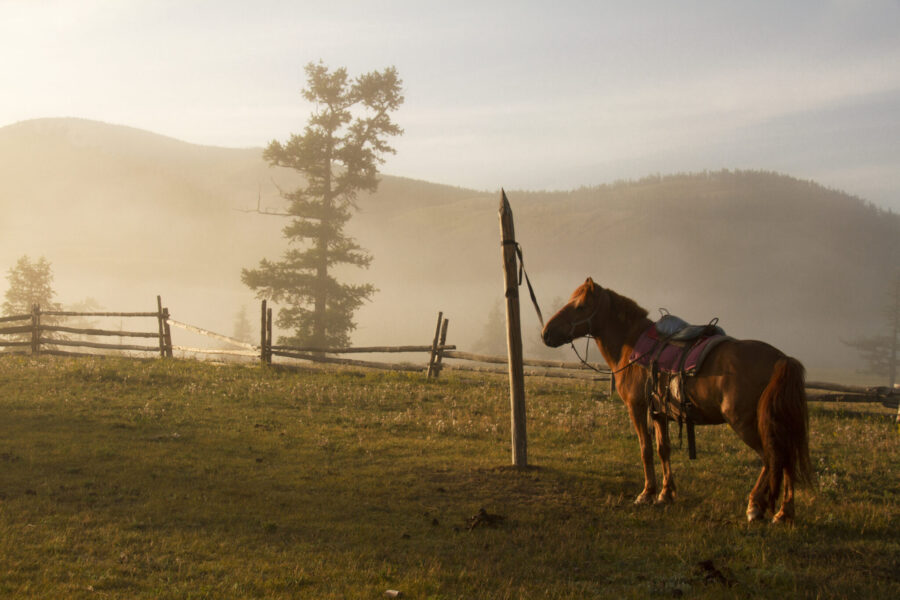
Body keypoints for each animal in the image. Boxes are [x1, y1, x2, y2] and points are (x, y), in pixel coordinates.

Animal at [541, 278, 812, 523]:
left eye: (581, 306)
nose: (546, 333)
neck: (631, 347)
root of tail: (781, 359)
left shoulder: (637, 408)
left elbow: (645, 449)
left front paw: (647, 494)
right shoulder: (659, 412)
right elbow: (663, 449)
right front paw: (665, 493)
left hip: (747, 424)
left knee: (772, 458)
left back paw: (755, 505)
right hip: (778, 424)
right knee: (786, 459)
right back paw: (784, 513)